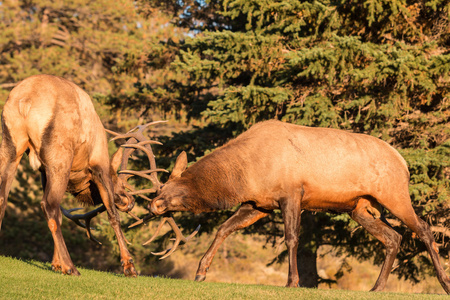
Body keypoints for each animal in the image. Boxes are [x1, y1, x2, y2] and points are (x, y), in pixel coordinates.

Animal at [0, 74, 141, 276]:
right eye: (119, 183)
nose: (130, 201)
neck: (80, 175)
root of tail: (24, 102)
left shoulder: (44, 171)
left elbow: (60, 215)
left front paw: (55, 263)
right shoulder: (99, 163)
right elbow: (113, 214)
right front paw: (129, 266)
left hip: (11, 148)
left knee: (4, 199)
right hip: (61, 157)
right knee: (48, 205)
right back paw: (71, 267)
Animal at [138, 119, 450, 292]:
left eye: (167, 188)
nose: (153, 205)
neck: (245, 174)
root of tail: (404, 162)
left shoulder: (291, 194)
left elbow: (291, 238)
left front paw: (292, 281)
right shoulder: (259, 204)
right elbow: (224, 229)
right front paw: (201, 272)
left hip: (394, 194)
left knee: (424, 229)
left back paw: (444, 282)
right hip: (360, 208)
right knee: (393, 237)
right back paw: (377, 286)